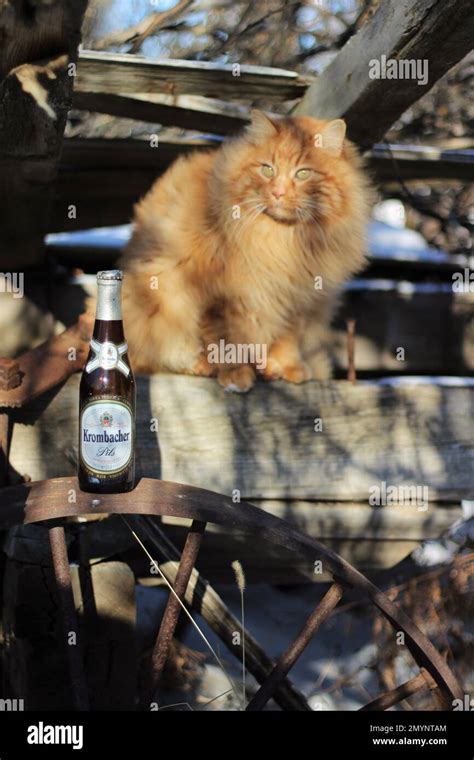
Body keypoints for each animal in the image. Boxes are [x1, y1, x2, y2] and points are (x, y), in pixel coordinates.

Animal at [117, 113, 370, 392]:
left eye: (303, 173)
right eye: (267, 169)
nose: (278, 192)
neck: (282, 242)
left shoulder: (297, 299)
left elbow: (287, 338)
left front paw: (286, 368)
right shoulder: (218, 296)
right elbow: (226, 341)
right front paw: (235, 375)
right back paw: (201, 366)